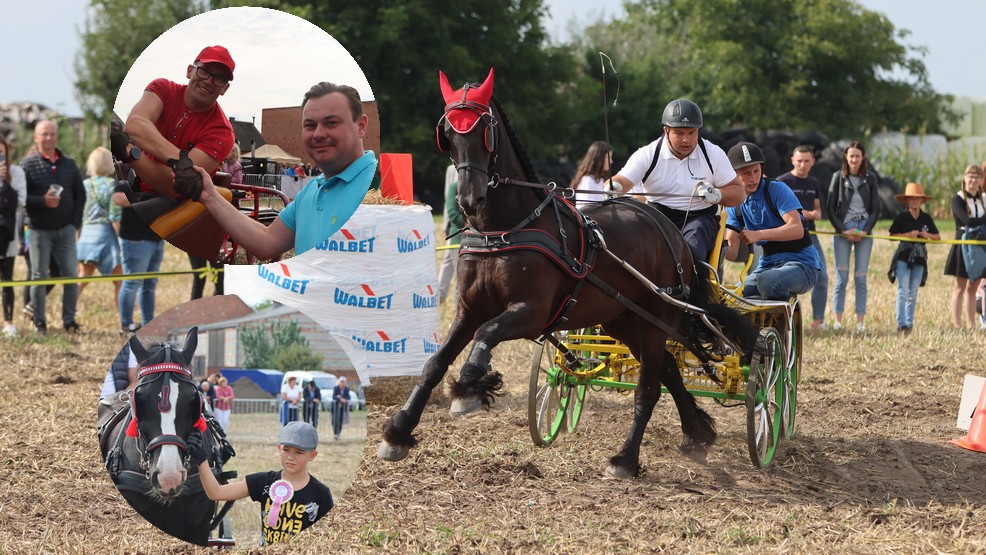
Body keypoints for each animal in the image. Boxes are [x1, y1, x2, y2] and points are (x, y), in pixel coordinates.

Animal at [376, 68, 752, 478]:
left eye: (484, 131)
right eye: (447, 132)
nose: (468, 200)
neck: (504, 229)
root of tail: (670, 232)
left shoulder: (530, 312)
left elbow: (485, 334)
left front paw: (473, 382)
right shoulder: (468, 309)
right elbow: (434, 364)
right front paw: (398, 431)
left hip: (656, 319)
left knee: (650, 387)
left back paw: (626, 459)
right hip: (624, 319)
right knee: (667, 369)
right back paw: (696, 433)